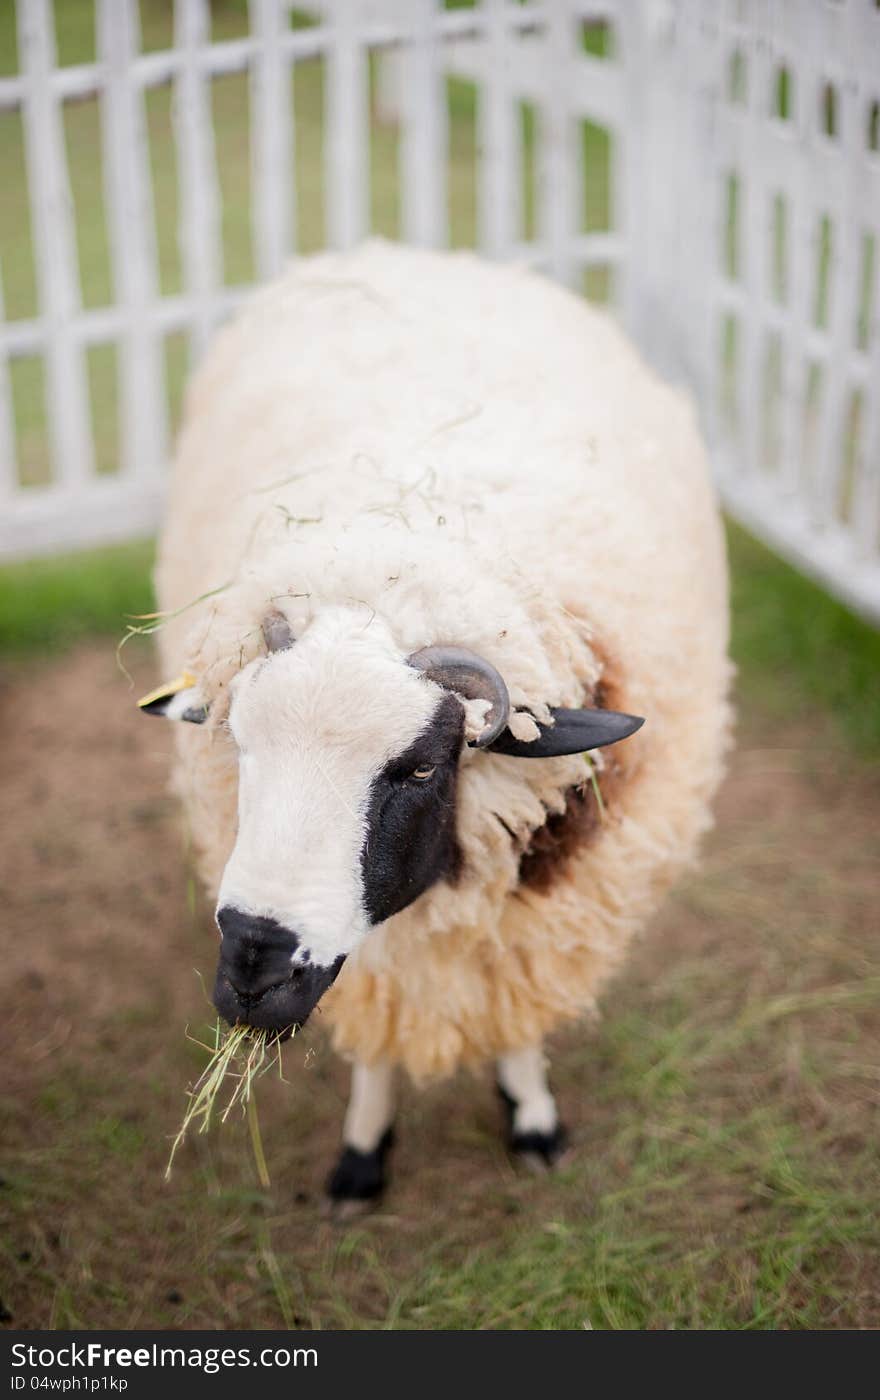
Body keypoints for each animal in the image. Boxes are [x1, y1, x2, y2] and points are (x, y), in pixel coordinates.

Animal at [140, 238, 733, 1204]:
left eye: (421, 767)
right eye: (241, 745)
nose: (253, 971)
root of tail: (413, 253)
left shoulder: (532, 921)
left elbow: (517, 1019)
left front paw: (533, 1118)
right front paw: (361, 1155)